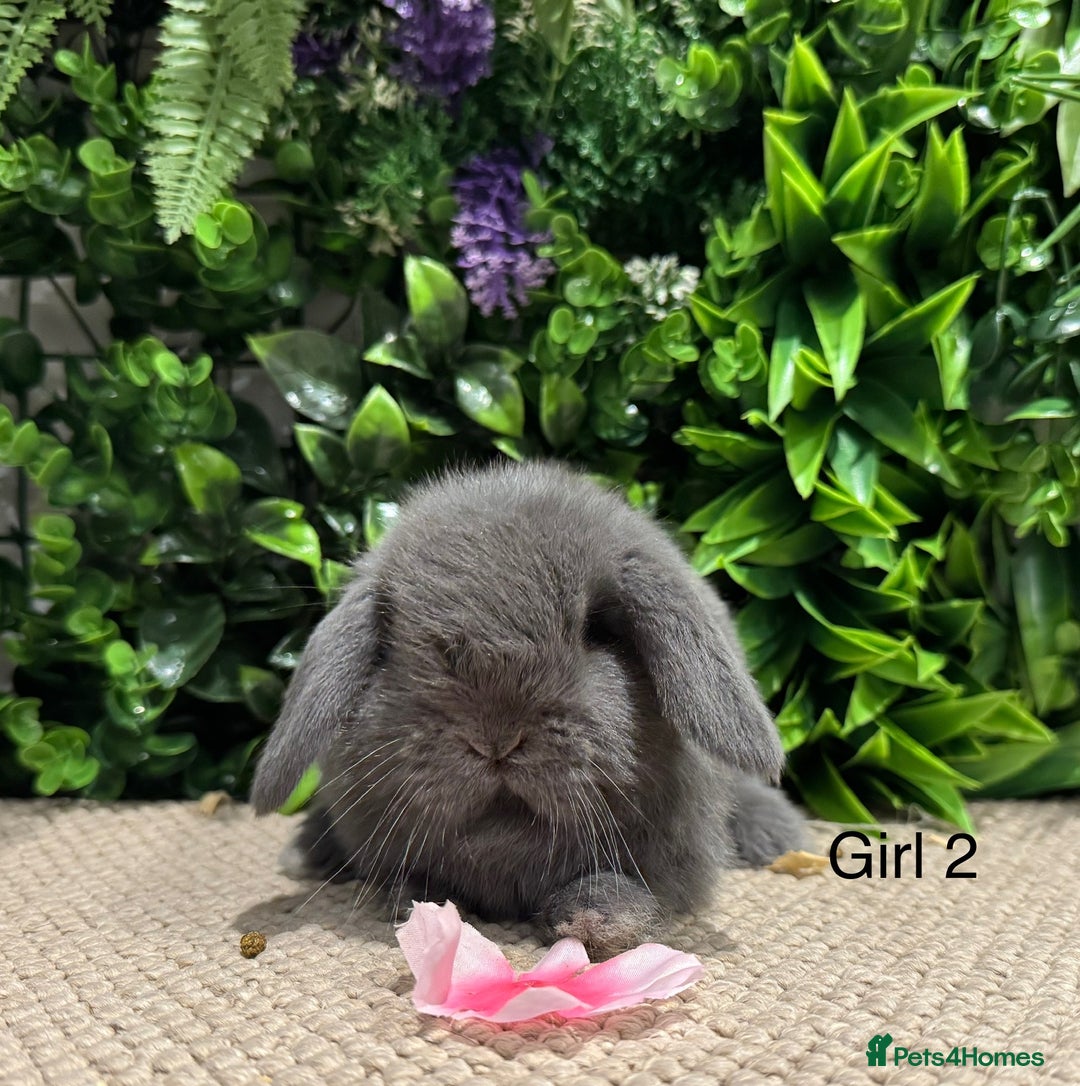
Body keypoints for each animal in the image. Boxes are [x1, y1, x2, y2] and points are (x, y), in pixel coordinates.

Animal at [251, 459, 805, 958]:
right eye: (393, 646)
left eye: (600, 630)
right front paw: (419, 905)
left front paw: (597, 920)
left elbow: (622, 890)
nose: (495, 738)